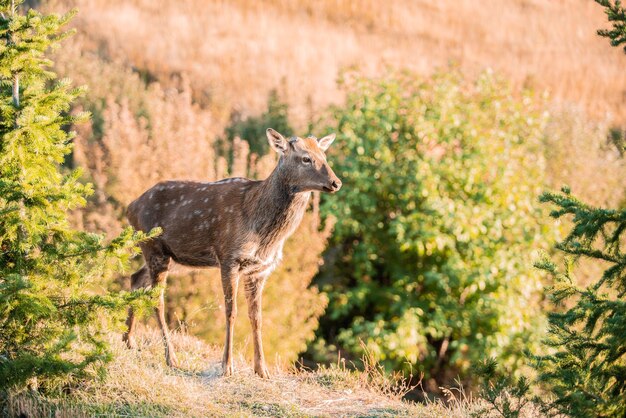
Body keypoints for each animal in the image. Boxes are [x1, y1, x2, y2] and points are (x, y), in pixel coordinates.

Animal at [122, 128, 342, 378]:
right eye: (306, 158)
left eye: (324, 156)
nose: (336, 182)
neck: (264, 234)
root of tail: (130, 207)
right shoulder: (228, 257)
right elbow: (231, 312)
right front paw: (227, 366)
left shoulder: (259, 269)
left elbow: (257, 317)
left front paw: (262, 369)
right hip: (155, 248)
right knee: (156, 297)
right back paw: (171, 358)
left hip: (171, 255)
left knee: (136, 278)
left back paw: (128, 340)